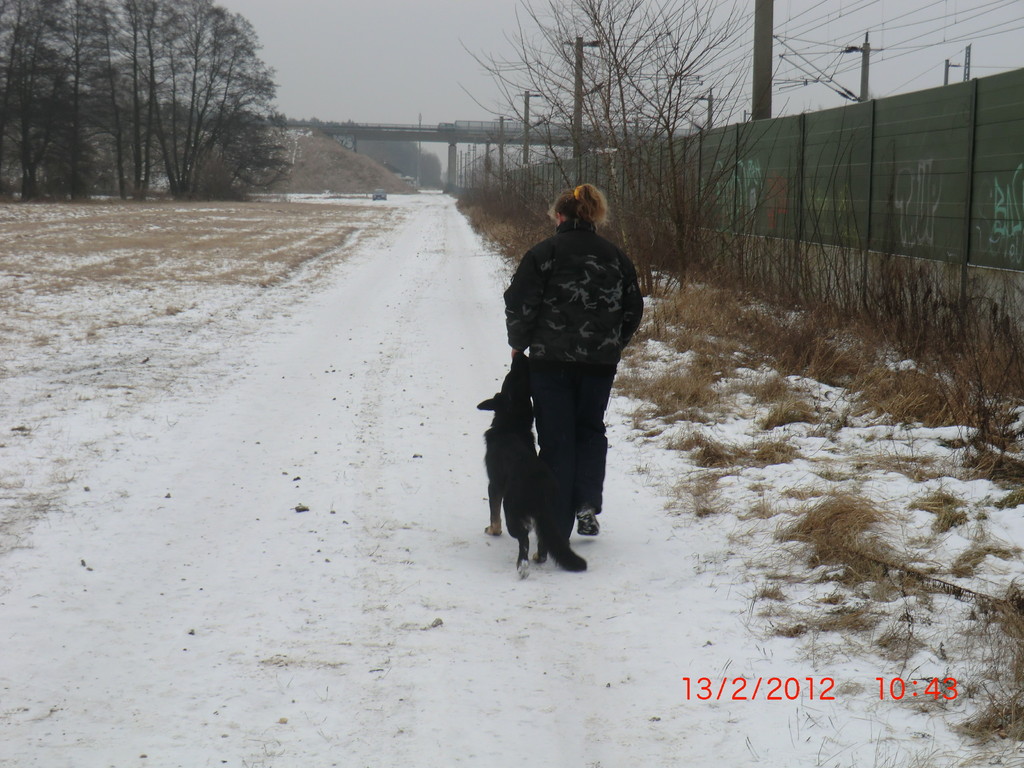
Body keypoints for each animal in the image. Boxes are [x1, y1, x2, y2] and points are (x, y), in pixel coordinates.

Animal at [477, 354, 589, 577]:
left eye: (509, 377)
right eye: (516, 378)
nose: (520, 355)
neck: (511, 423)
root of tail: (541, 486)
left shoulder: (494, 485)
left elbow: (493, 513)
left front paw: (493, 530)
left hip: (512, 509)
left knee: (523, 538)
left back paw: (523, 565)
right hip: (550, 514)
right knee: (544, 539)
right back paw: (538, 557)